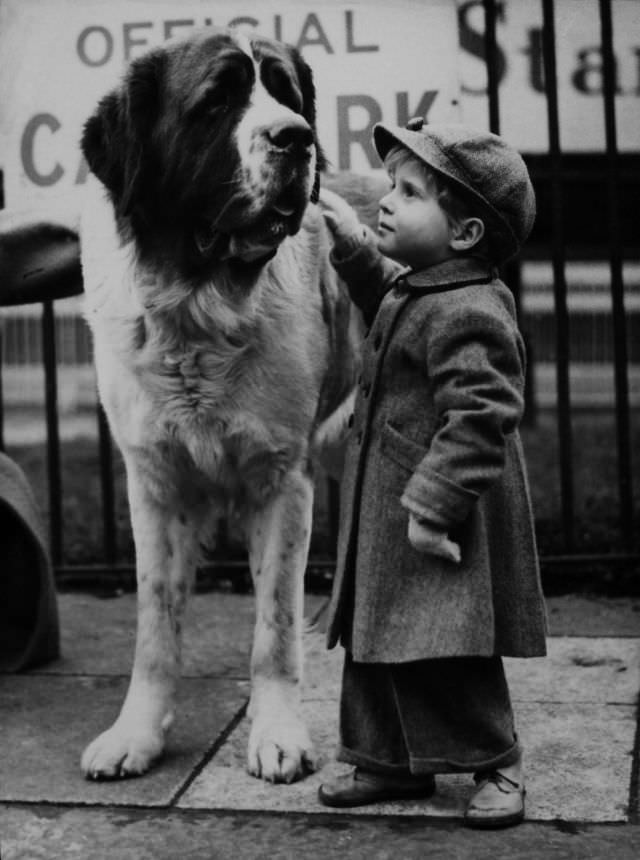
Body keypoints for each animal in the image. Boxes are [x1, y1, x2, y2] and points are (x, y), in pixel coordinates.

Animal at [75, 30, 362, 788]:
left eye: (288, 96)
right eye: (215, 102)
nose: (297, 139)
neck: (198, 304)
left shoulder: (281, 480)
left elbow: (275, 627)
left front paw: (279, 735)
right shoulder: (155, 484)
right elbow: (155, 621)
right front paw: (135, 735)